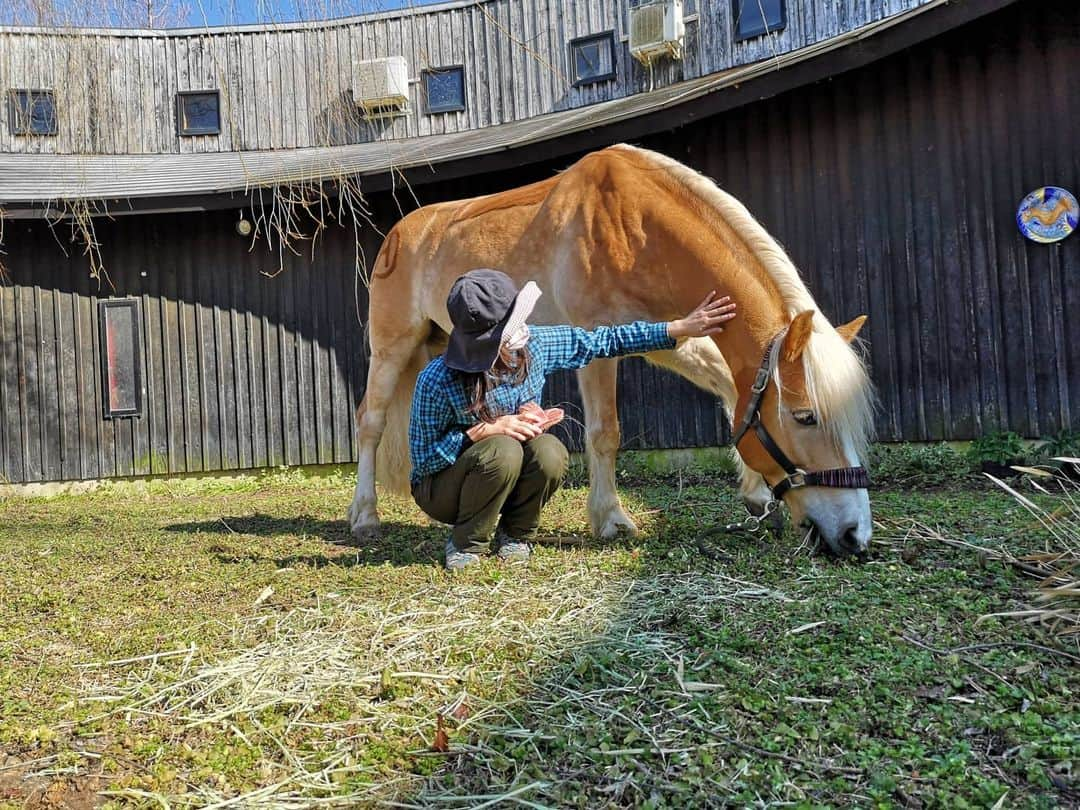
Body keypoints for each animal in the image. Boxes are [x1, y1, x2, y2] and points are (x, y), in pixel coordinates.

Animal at [349, 142, 872, 557]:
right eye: (806, 417)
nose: (855, 536)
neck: (636, 225)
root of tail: (399, 234)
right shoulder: (595, 340)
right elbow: (605, 433)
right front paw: (611, 520)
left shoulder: (671, 340)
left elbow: (731, 390)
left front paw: (757, 495)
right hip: (392, 347)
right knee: (371, 421)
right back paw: (364, 516)